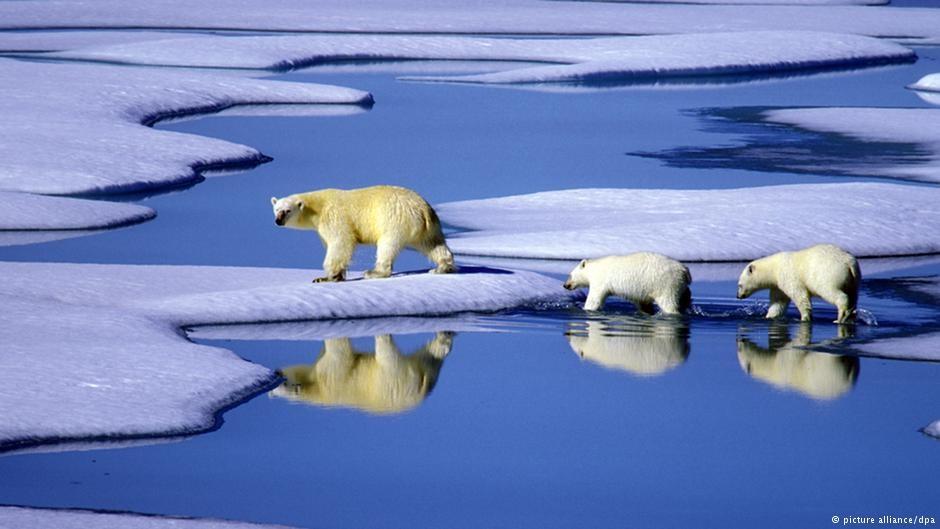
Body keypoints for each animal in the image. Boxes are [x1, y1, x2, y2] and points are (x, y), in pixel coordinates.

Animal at [270, 186, 458, 284]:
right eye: (276, 209)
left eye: (287, 210)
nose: (278, 221)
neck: (317, 207)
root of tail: (423, 209)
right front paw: (336, 276)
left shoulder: (333, 217)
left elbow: (340, 242)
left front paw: (326, 277)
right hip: (429, 226)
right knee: (433, 244)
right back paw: (442, 267)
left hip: (394, 219)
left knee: (387, 246)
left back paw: (374, 272)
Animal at [270, 332, 454, 414]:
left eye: (283, 384)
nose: (277, 370)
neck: (318, 390)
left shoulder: (331, 376)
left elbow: (339, 353)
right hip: (425, 372)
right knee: (430, 356)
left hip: (393, 379)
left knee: (387, 355)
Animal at [564, 253, 692, 314]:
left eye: (570, 275)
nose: (565, 285)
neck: (594, 268)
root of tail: (684, 269)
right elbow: (643, 303)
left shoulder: (601, 280)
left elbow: (594, 299)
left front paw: (585, 308)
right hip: (679, 284)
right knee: (685, 296)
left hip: (665, 283)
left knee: (668, 302)